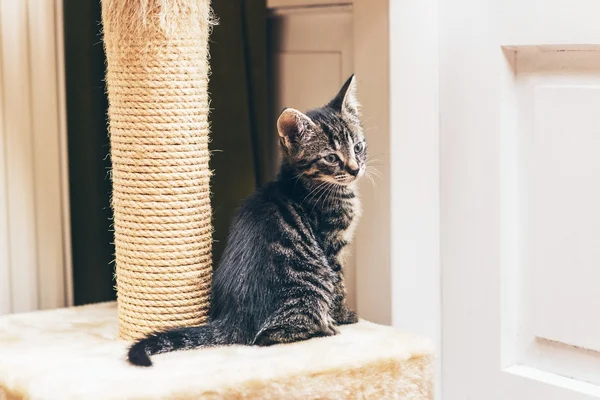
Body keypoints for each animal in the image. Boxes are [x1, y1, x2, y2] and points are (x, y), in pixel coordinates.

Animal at [127, 75, 366, 366]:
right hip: (311, 283)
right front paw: (344, 316)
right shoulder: (331, 247)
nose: (355, 169)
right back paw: (325, 328)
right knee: (267, 336)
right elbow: (339, 284)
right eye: (331, 158)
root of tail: (233, 318)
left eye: (358, 147)